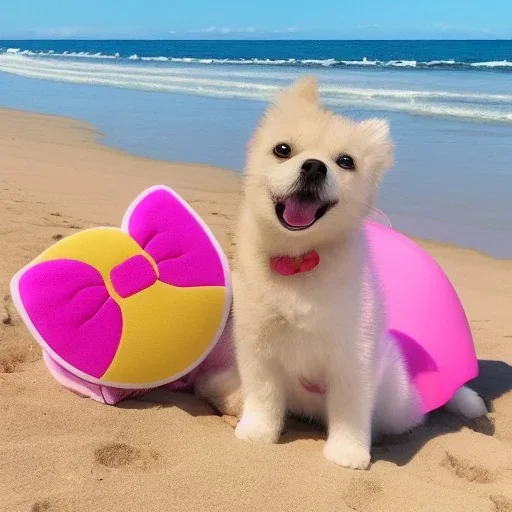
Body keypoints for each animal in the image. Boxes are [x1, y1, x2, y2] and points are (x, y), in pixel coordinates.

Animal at [197, 74, 488, 470]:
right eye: (282, 150)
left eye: (346, 161)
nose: (314, 166)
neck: (299, 261)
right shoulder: (258, 346)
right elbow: (265, 395)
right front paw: (258, 431)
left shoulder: (353, 355)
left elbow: (350, 411)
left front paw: (347, 454)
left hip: (397, 402)